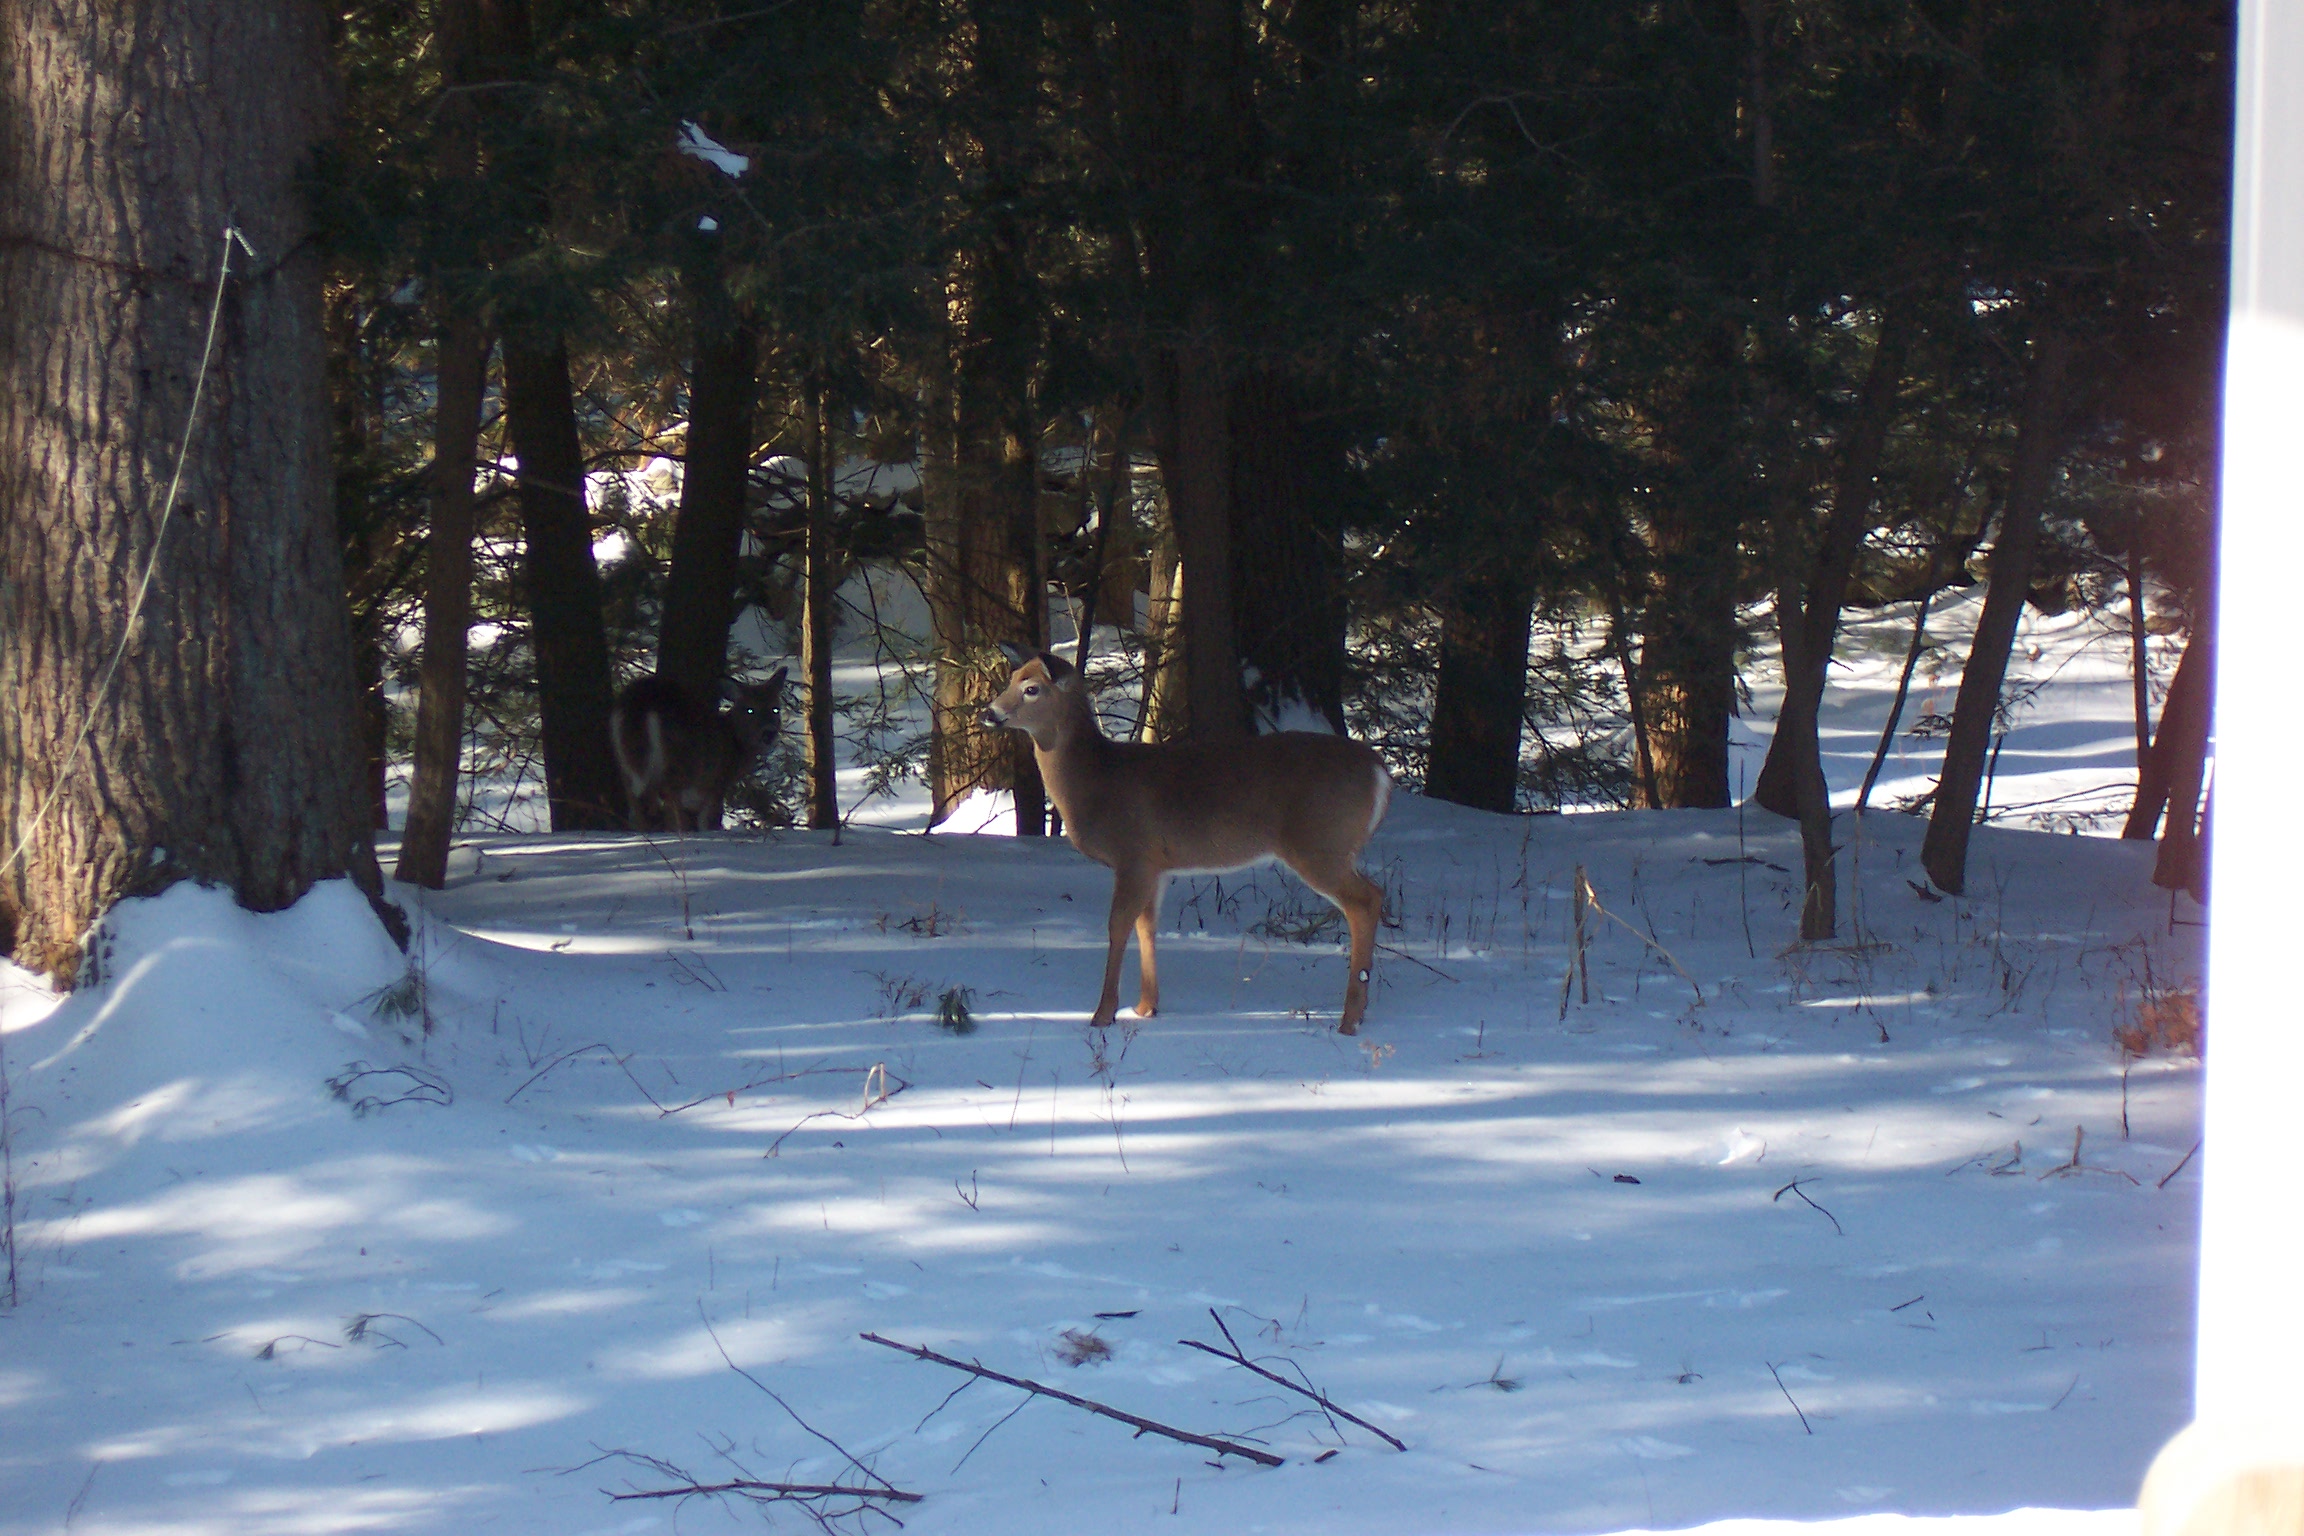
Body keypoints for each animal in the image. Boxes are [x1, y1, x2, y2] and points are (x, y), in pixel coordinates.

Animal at [608, 667, 787, 833]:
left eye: (775, 709)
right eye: (750, 709)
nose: (768, 733)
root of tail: (641, 702)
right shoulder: (716, 782)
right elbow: (706, 821)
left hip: (624, 760)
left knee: (636, 806)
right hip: (679, 762)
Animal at [972, 644, 1382, 1031]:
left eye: (1031, 688)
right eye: (1010, 679)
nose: (988, 713)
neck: (1095, 782)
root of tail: (1380, 771)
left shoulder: (1133, 853)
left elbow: (1117, 925)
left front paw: (1103, 1014)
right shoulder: (1156, 865)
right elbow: (1147, 926)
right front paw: (1145, 1007)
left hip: (1320, 843)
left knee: (1366, 900)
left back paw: (1350, 1019)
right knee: (1373, 896)